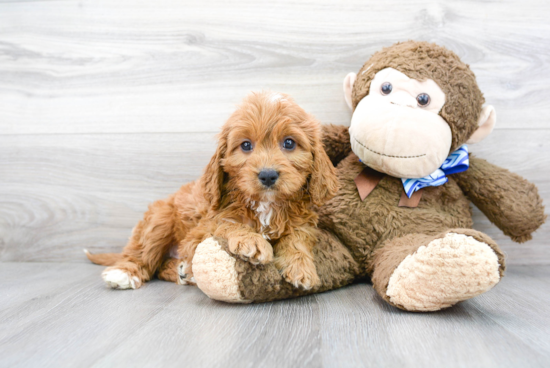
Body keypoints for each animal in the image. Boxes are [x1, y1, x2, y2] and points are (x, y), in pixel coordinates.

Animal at [86, 91, 338, 290]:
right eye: (246, 145)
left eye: (289, 143)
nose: (267, 175)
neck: (266, 205)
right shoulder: (201, 229)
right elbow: (226, 223)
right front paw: (252, 241)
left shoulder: (302, 221)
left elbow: (297, 238)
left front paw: (301, 267)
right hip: (160, 218)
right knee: (143, 254)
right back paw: (125, 273)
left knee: (159, 267)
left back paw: (182, 272)